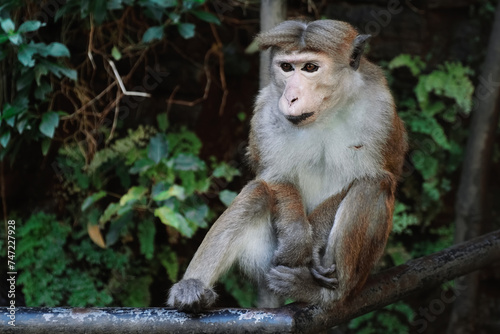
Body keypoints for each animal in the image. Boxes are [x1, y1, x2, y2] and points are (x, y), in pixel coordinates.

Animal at [166, 19, 408, 314]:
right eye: (286, 67)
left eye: (310, 68)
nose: (290, 97)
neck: (325, 112)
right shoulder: (267, 108)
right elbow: (273, 175)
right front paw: (298, 238)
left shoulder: (380, 109)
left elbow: (380, 175)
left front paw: (313, 240)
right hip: (265, 259)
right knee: (257, 192)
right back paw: (192, 289)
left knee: (372, 187)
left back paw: (323, 294)